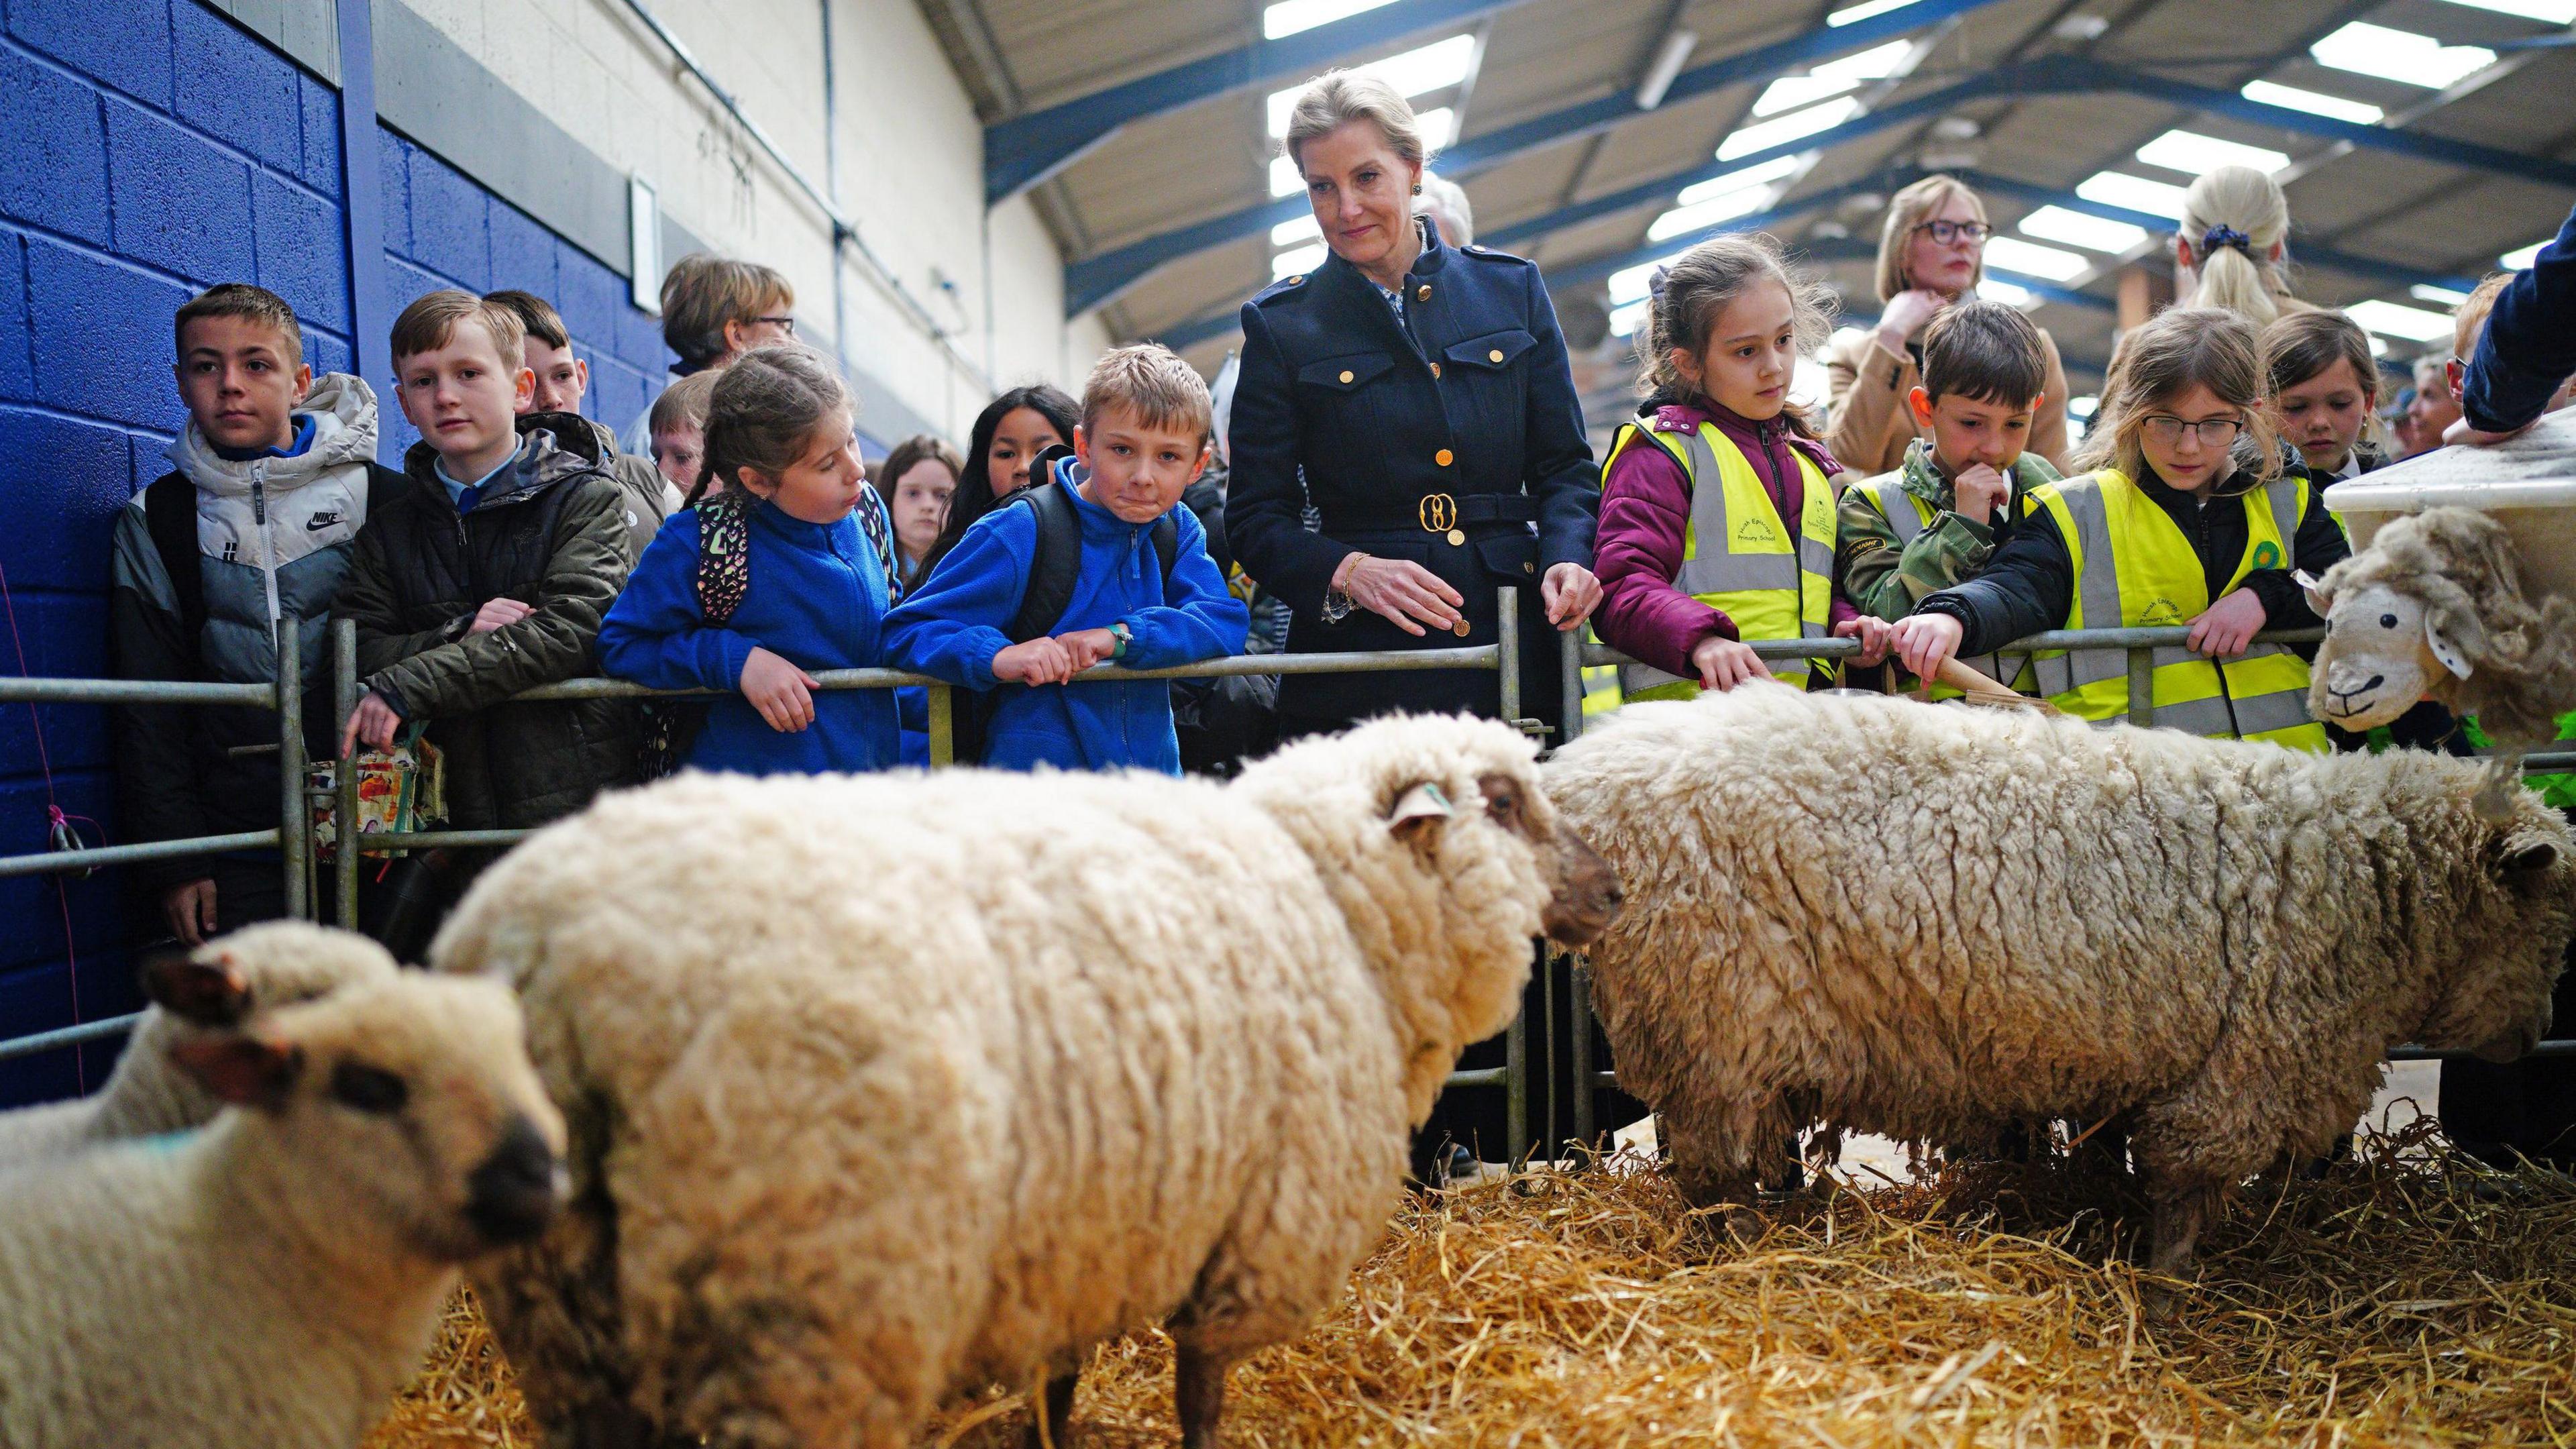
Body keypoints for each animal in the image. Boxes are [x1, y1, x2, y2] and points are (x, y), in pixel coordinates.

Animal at [433, 711, 1617, 1444]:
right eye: (1503, 802)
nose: (1610, 890)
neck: (1333, 899)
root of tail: (558, 963)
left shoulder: (1077, 1230)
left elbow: (1057, 1392)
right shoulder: (1247, 1236)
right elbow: (1200, 1398)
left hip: (562, 1312)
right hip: (812, 1300)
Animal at [1535, 686, 2565, 1273]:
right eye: (2551, 921)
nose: (2533, 1037)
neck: (2365, 881)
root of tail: (1587, 771)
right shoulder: (2242, 1069)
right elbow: (2186, 1189)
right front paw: (2171, 1284)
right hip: (1710, 1010)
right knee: (1712, 1169)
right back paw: (1736, 1252)